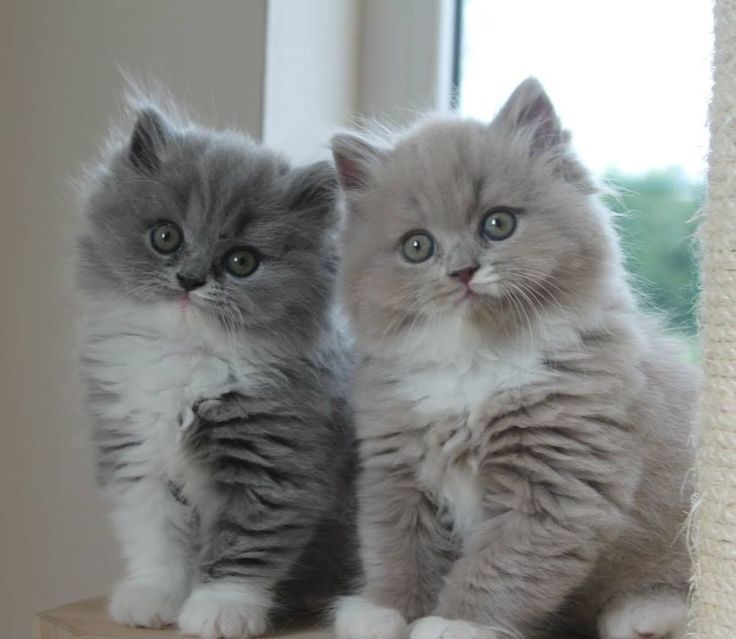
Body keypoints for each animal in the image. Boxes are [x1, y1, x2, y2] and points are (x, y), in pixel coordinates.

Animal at [79, 102, 356, 636]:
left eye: (241, 261)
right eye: (166, 237)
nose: (190, 279)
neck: (187, 357)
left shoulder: (273, 460)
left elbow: (246, 541)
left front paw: (221, 608)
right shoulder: (138, 454)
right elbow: (156, 536)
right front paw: (154, 595)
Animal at [332, 79, 696, 639]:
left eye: (497, 224)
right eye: (417, 247)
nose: (463, 271)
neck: (475, 363)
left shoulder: (554, 482)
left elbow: (501, 565)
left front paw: (456, 623)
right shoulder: (396, 470)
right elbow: (397, 546)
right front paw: (384, 610)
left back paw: (645, 614)